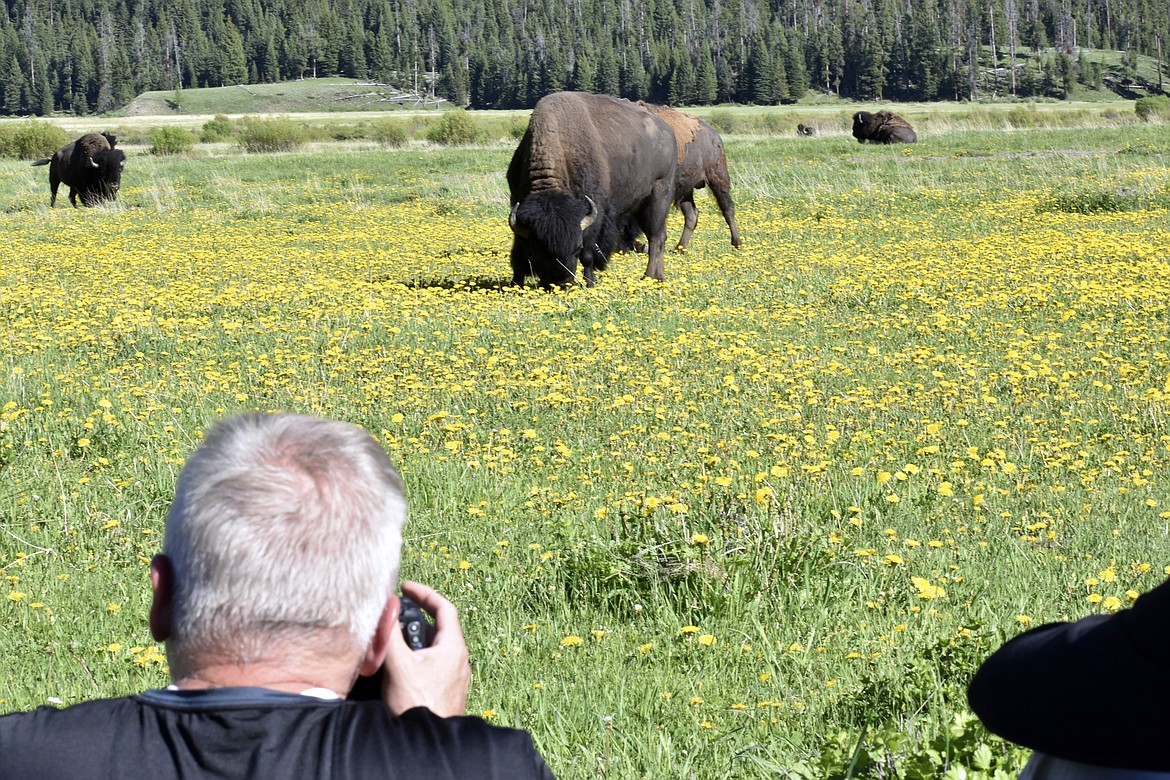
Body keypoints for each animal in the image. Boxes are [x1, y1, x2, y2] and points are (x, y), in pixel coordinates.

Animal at [507, 91, 683, 286]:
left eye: (577, 247)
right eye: (538, 251)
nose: (562, 283)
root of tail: (669, 132)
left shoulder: (593, 214)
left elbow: (588, 255)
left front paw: (590, 283)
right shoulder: (518, 207)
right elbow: (517, 251)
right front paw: (516, 283)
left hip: (658, 198)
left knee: (656, 237)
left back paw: (650, 277)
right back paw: (657, 277)